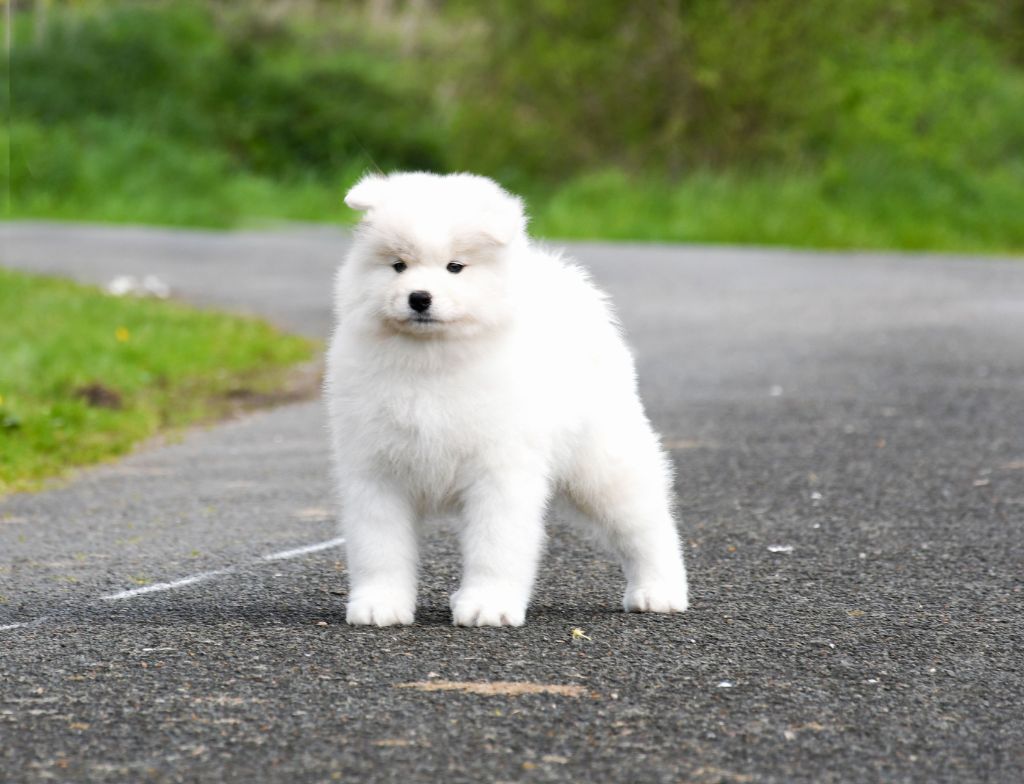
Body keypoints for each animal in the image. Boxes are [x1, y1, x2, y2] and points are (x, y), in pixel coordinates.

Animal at [323, 175, 688, 630]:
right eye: (398, 265)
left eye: (455, 267)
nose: (419, 297)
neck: (430, 361)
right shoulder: (375, 471)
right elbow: (379, 548)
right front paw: (380, 604)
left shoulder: (499, 472)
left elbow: (495, 546)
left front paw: (488, 605)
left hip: (603, 464)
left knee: (648, 525)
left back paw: (659, 592)